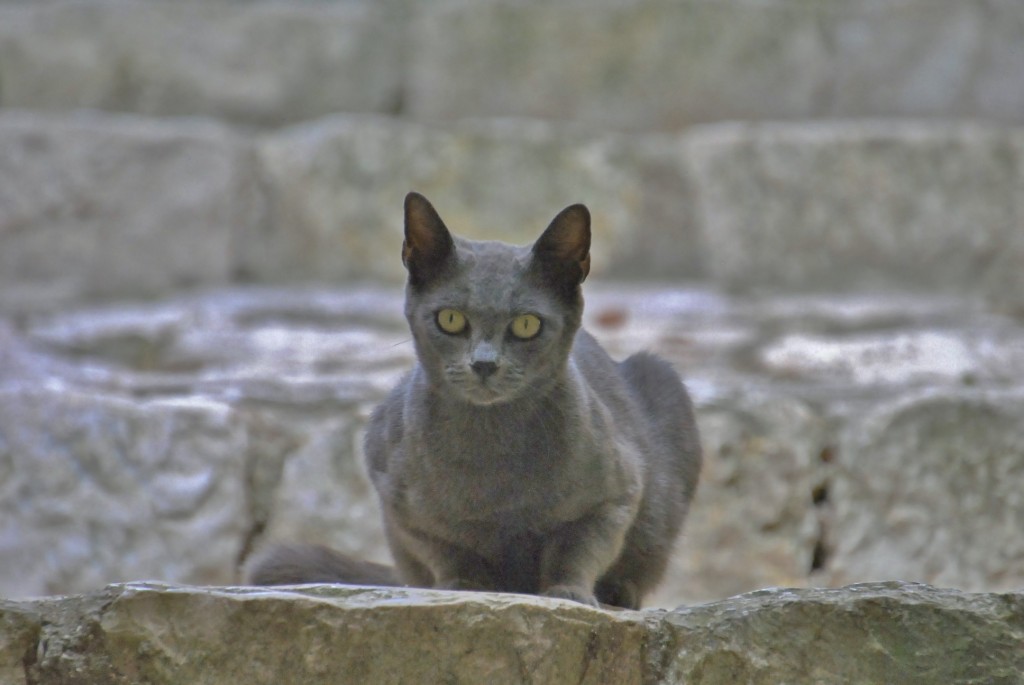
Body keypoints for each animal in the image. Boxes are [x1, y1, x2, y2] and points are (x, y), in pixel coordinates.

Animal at [245, 193, 704, 610]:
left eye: (526, 324)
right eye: (450, 319)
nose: (484, 363)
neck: (491, 456)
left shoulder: (616, 494)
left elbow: (578, 548)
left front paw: (569, 592)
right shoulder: (399, 500)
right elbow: (448, 549)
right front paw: (463, 587)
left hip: (662, 383)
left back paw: (619, 593)